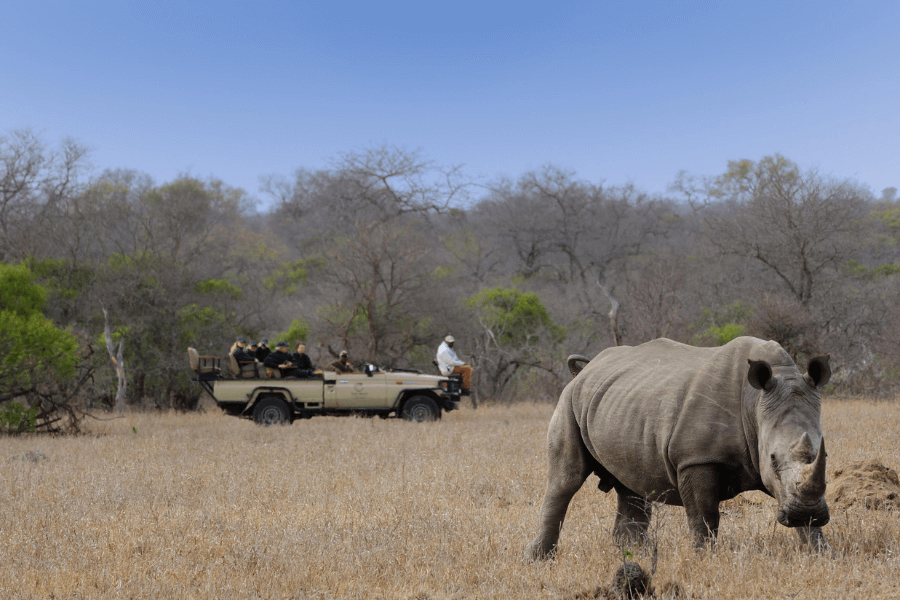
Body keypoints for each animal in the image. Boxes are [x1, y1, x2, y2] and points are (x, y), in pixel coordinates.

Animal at [526, 336, 831, 560]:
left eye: (824, 454)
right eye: (772, 460)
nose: (807, 513)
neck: (755, 403)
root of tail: (585, 369)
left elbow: (806, 523)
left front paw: (821, 554)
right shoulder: (696, 458)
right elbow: (704, 517)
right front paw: (703, 559)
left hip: (623, 402)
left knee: (632, 486)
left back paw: (633, 555)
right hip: (569, 399)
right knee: (566, 479)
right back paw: (539, 559)